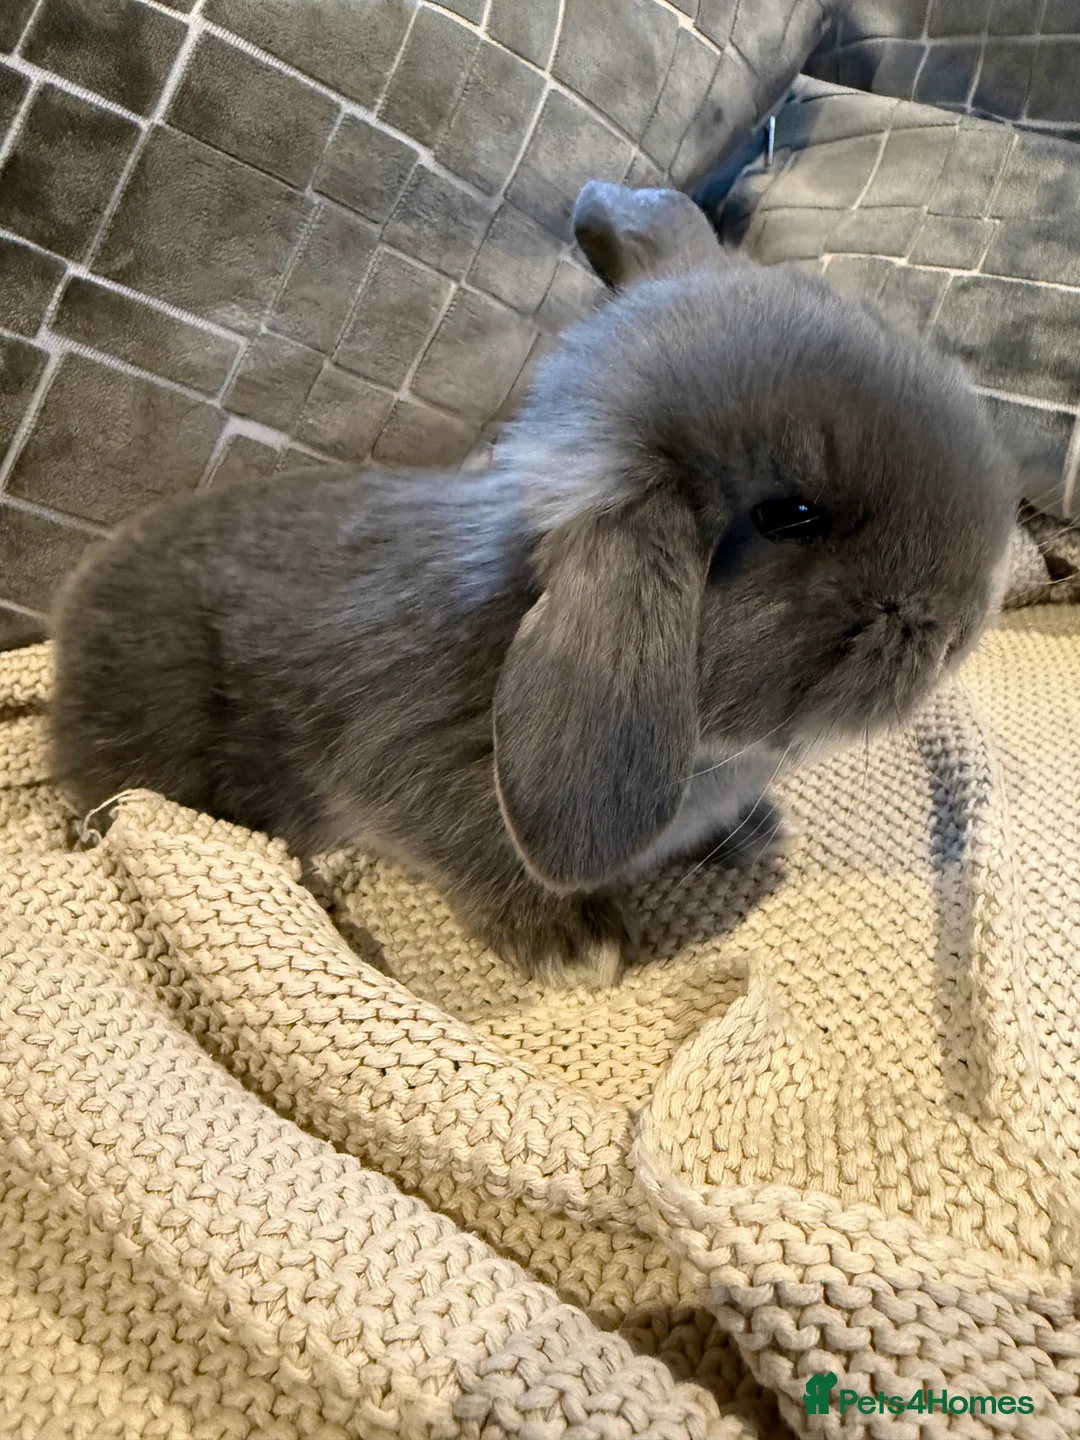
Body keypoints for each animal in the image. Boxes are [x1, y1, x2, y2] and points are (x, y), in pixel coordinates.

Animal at [50, 181, 1017, 988]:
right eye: (791, 514)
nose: (960, 623)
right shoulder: (399, 761)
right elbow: (469, 851)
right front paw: (573, 945)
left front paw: (749, 835)